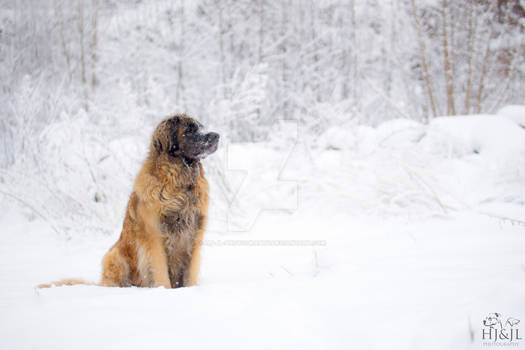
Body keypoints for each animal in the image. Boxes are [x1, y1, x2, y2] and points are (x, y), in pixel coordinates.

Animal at [39, 113, 219, 288]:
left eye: (201, 127)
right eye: (189, 130)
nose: (217, 136)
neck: (181, 184)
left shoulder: (194, 236)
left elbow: (191, 272)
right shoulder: (154, 237)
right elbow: (160, 272)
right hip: (114, 256)